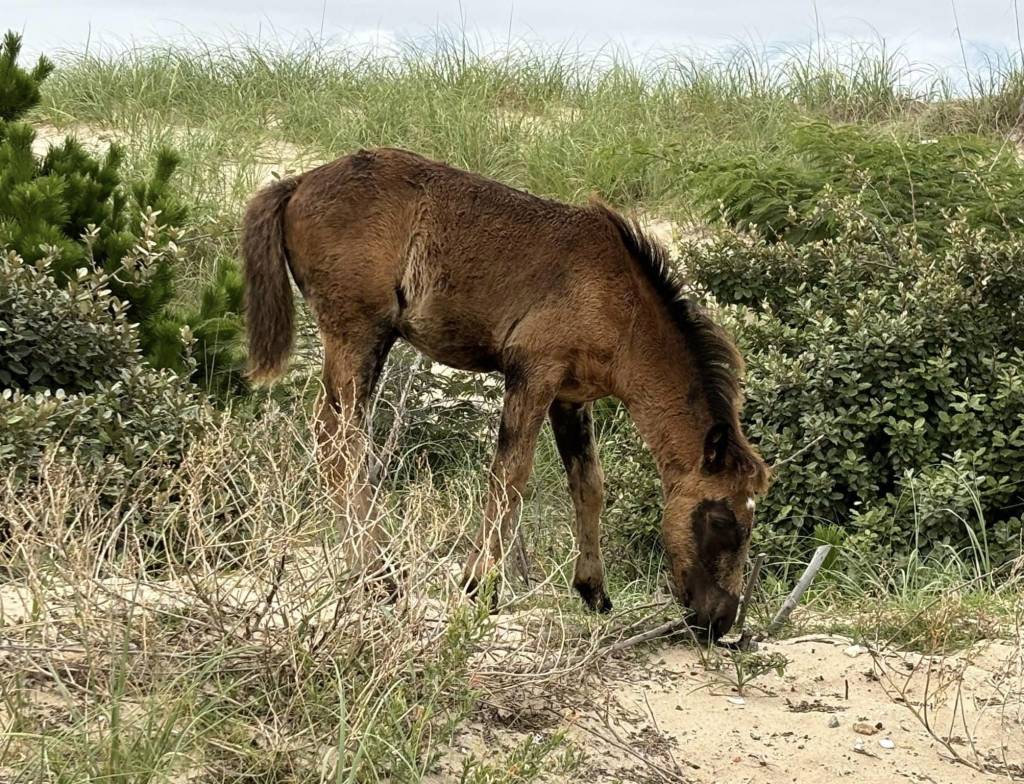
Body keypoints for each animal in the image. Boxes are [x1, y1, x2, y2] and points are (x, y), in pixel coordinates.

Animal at [239, 149, 770, 646]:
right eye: (722, 519)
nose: (719, 621)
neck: (621, 302)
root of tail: (300, 182)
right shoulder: (532, 375)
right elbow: (510, 475)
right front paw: (481, 583)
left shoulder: (571, 399)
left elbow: (589, 486)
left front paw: (593, 590)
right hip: (359, 335)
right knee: (337, 441)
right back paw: (379, 574)